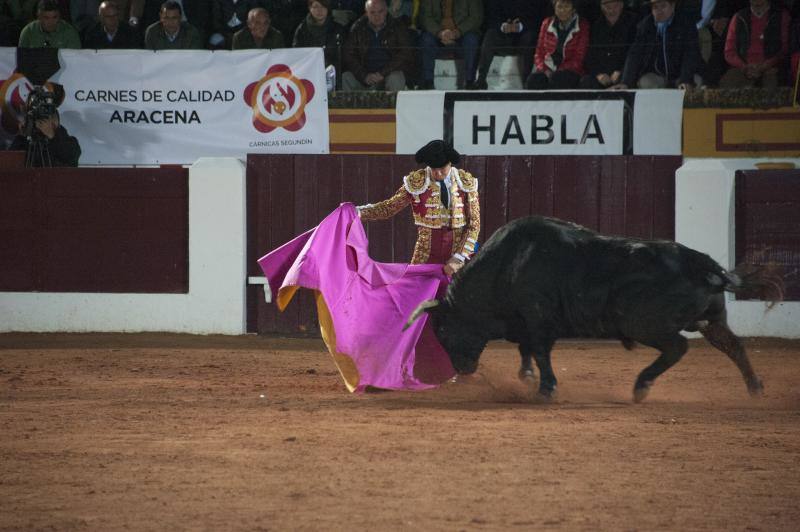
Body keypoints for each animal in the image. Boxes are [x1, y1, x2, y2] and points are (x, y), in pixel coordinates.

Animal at [406, 214, 780, 402]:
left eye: (443, 330)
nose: (463, 368)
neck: (507, 266)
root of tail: (702, 264)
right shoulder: (526, 321)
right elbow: (527, 350)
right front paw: (528, 378)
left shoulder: (539, 320)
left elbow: (539, 351)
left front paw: (545, 388)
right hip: (711, 319)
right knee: (733, 344)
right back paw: (755, 389)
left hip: (646, 324)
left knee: (678, 347)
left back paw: (641, 387)